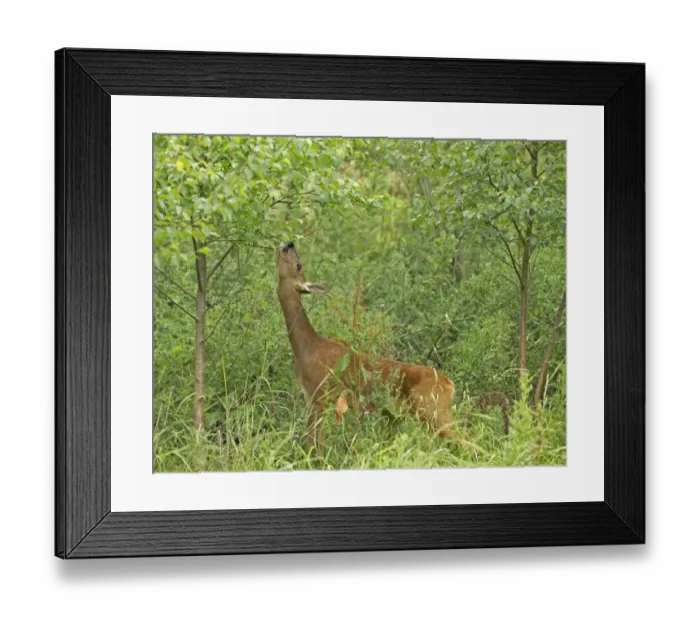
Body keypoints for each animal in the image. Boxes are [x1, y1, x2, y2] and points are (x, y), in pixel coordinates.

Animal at [276, 241, 461, 452]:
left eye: (299, 265)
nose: (289, 243)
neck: (306, 347)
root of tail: (450, 385)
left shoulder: (320, 395)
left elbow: (316, 444)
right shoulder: (310, 397)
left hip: (432, 410)